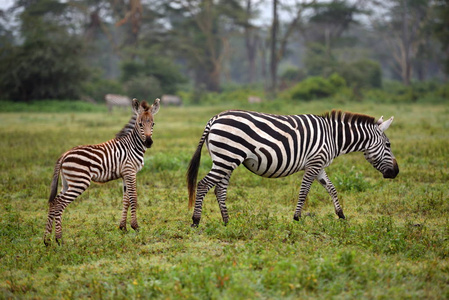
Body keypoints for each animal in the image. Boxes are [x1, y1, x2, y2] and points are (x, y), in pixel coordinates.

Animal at [44, 97, 160, 245]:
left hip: (67, 183)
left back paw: (47, 240)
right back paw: (59, 239)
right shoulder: (130, 171)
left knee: (54, 202)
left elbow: (126, 199)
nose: (149, 142)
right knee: (59, 203)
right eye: (140, 124)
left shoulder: (124, 174)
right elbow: (133, 197)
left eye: (153, 123)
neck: (132, 145)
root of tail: (64, 155)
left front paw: (123, 227)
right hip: (79, 182)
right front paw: (135, 226)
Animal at [187, 109, 398, 226]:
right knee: (204, 184)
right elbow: (304, 191)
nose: (396, 172)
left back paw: (227, 222)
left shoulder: (319, 165)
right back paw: (196, 221)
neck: (333, 137)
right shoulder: (314, 163)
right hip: (227, 157)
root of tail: (215, 118)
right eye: (388, 145)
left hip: (225, 159)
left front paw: (341, 215)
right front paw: (297, 218)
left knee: (219, 190)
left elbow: (332, 189)